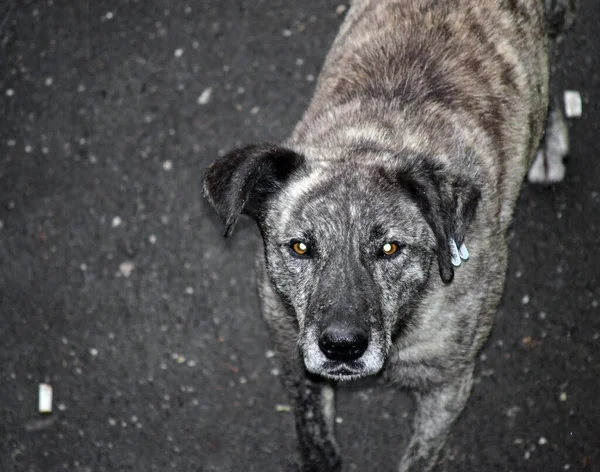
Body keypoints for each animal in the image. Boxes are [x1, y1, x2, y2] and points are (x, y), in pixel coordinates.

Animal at [204, 0, 576, 472]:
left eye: (389, 248)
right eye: (300, 247)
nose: (342, 347)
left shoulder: (447, 384)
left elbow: (421, 456)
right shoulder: (295, 363)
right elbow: (315, 440)